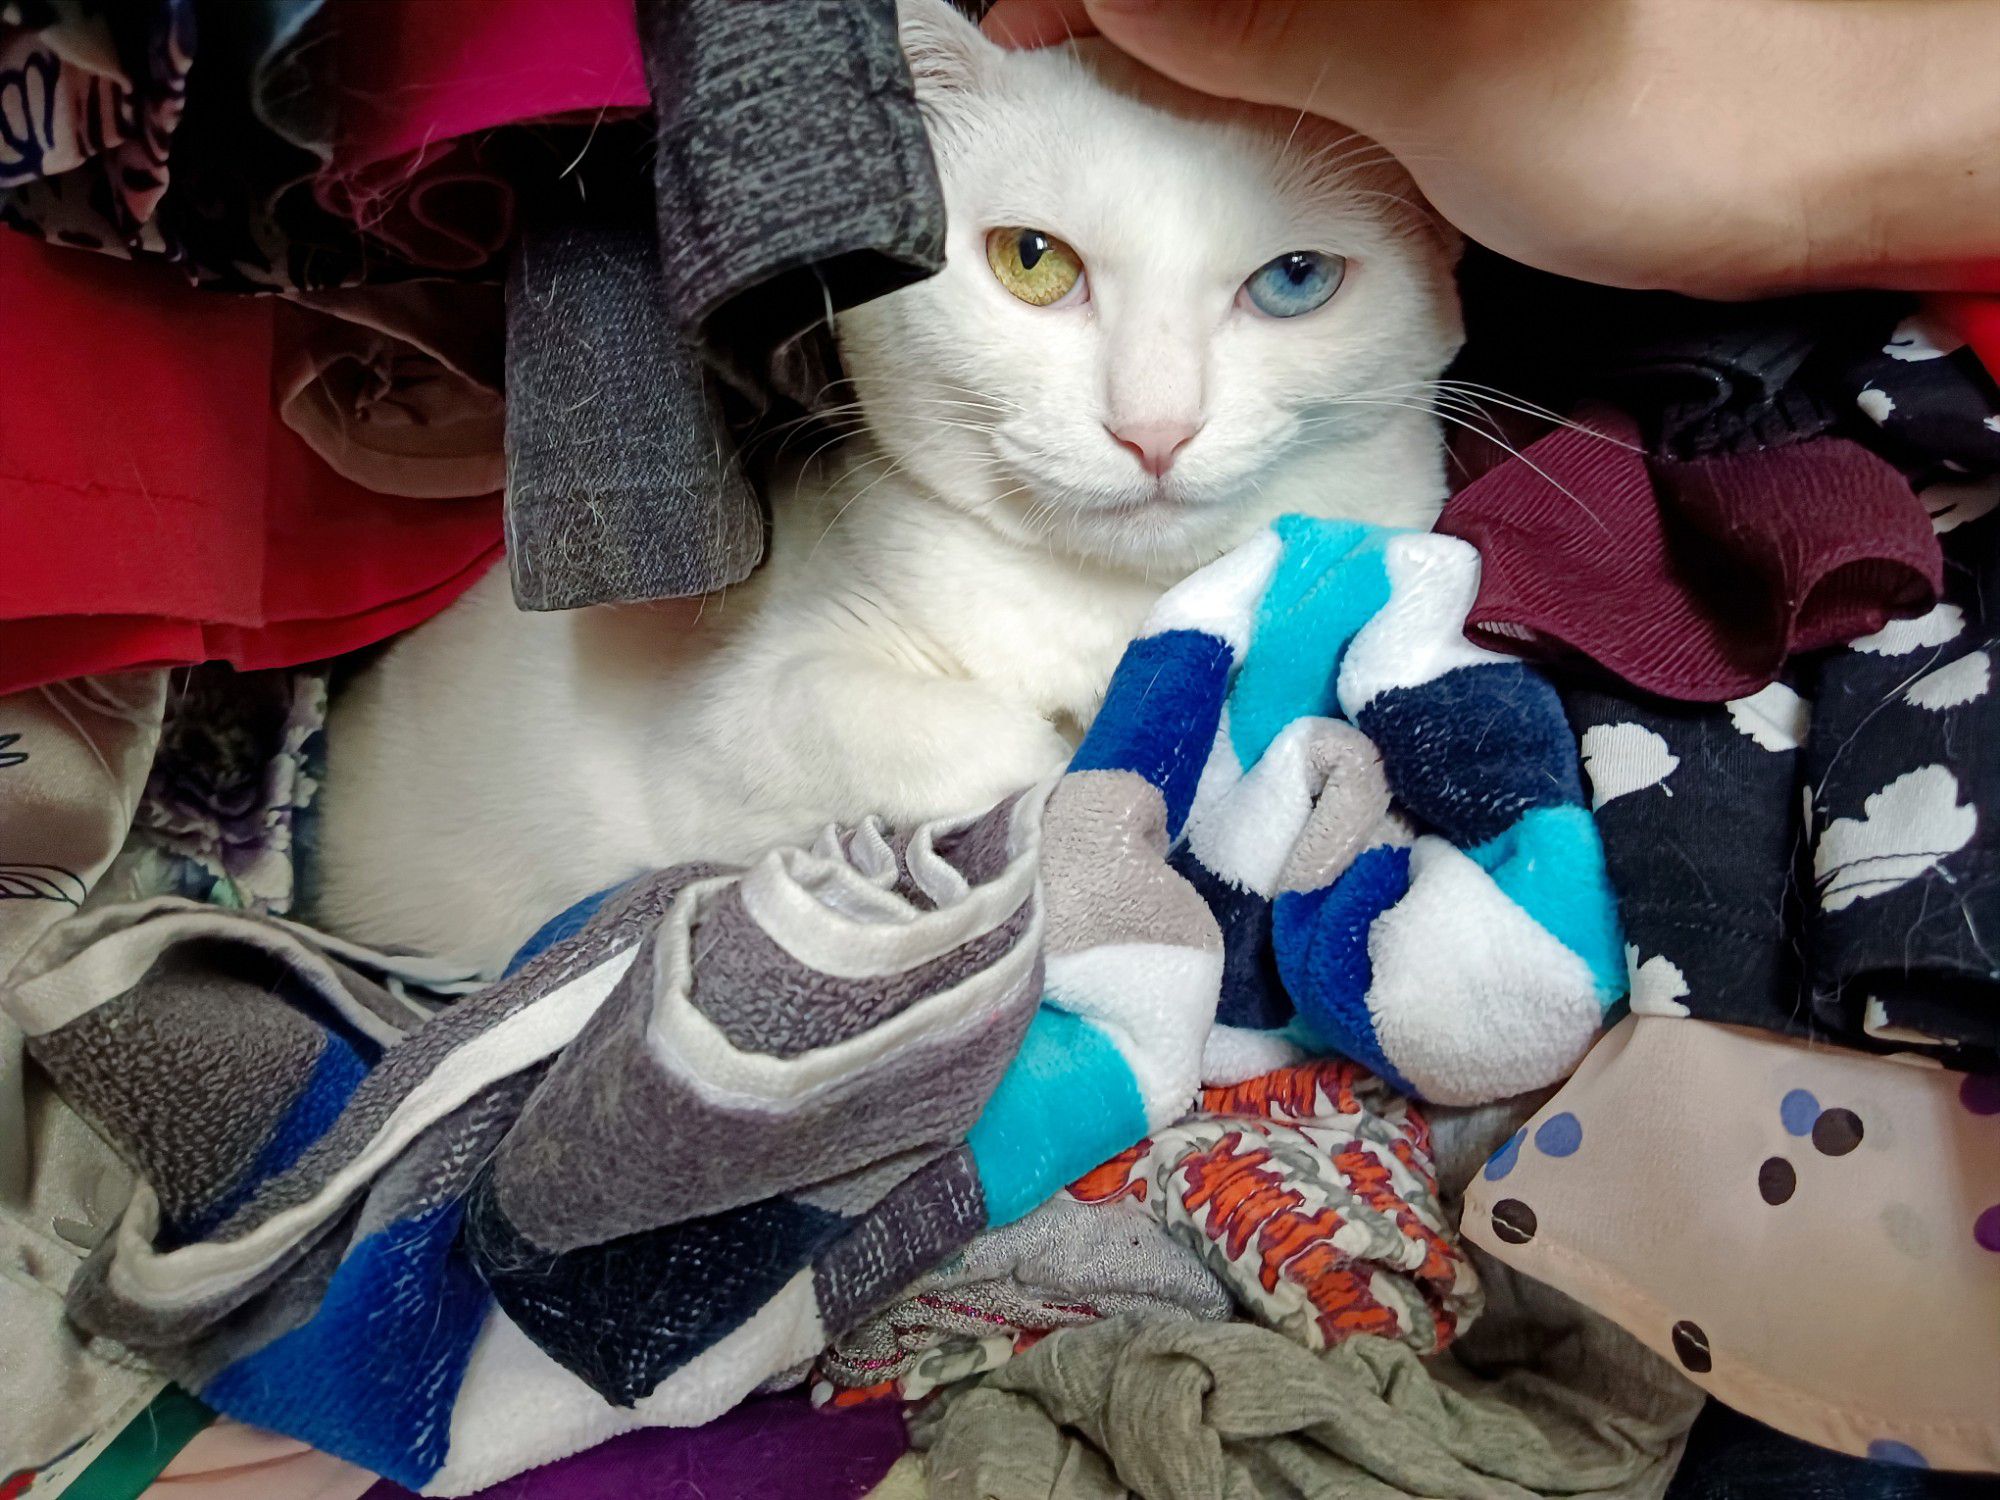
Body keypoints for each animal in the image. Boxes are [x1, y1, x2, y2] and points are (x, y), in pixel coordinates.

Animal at [315, 0, 1464, 975]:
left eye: (1296, 280)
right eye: (1032, 259)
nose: (1153, 429)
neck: (1095, 602)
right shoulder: (723, 719)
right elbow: (964, 738)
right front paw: (1065, 760)